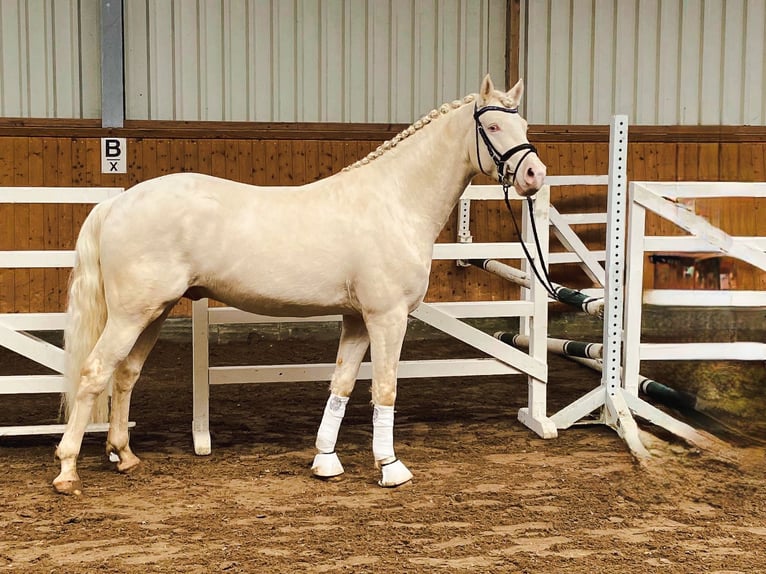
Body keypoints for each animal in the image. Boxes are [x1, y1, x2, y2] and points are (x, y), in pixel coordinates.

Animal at [53, 74, 546, 495]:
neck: (394, 201)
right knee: (95, 373)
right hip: (130, 315)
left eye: (523, 124)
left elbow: (341, 385)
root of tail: (117, 204)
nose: (534, 176)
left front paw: (325, 461)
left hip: (153, 312)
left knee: (125, 375)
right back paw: (68, 470)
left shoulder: (357, 320)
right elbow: (384, 388)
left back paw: (124, 455)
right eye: (494, 125)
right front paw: (390, 467)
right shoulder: (387, 318)